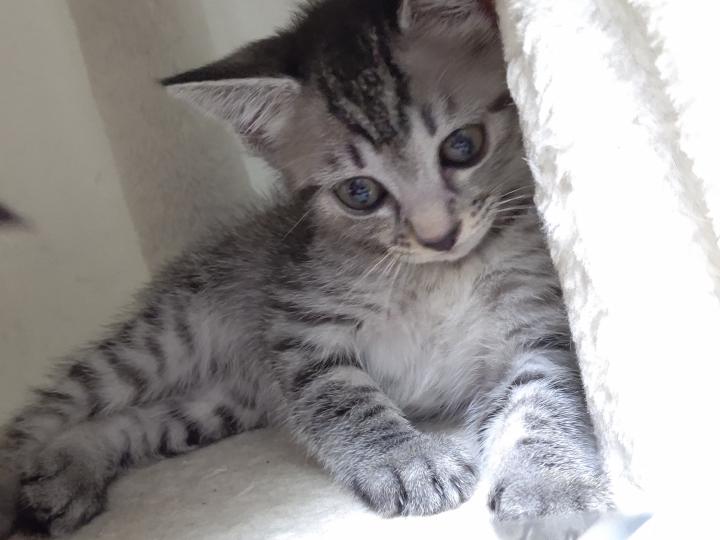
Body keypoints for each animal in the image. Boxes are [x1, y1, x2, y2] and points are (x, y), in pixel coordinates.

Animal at [0, 0, 611, 537]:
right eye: (360, 193)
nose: (439, 236)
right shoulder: (300, 330)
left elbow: (543, 398)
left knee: (136, 420)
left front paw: (549, 489)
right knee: (40, 420)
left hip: (223, 403)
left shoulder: (534, 325)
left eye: (463, 145)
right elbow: (343, 400)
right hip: (161, 342)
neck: (436, 275)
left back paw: (70, 470)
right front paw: (406, 462)